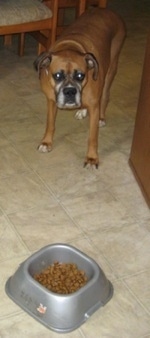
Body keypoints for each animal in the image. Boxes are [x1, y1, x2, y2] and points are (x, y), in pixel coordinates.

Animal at [34, 7, 125, 166]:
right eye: (58, 75)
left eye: (80, 75)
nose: (70, 91)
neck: (70, 47)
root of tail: (109, 11)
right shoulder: (51, 101)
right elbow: (50, 123)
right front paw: (46, 142)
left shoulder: (94, 107)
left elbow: (92, 137)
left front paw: (92, 158)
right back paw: (82, 110)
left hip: (111, 69)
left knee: (105, 96)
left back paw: (101, 118)